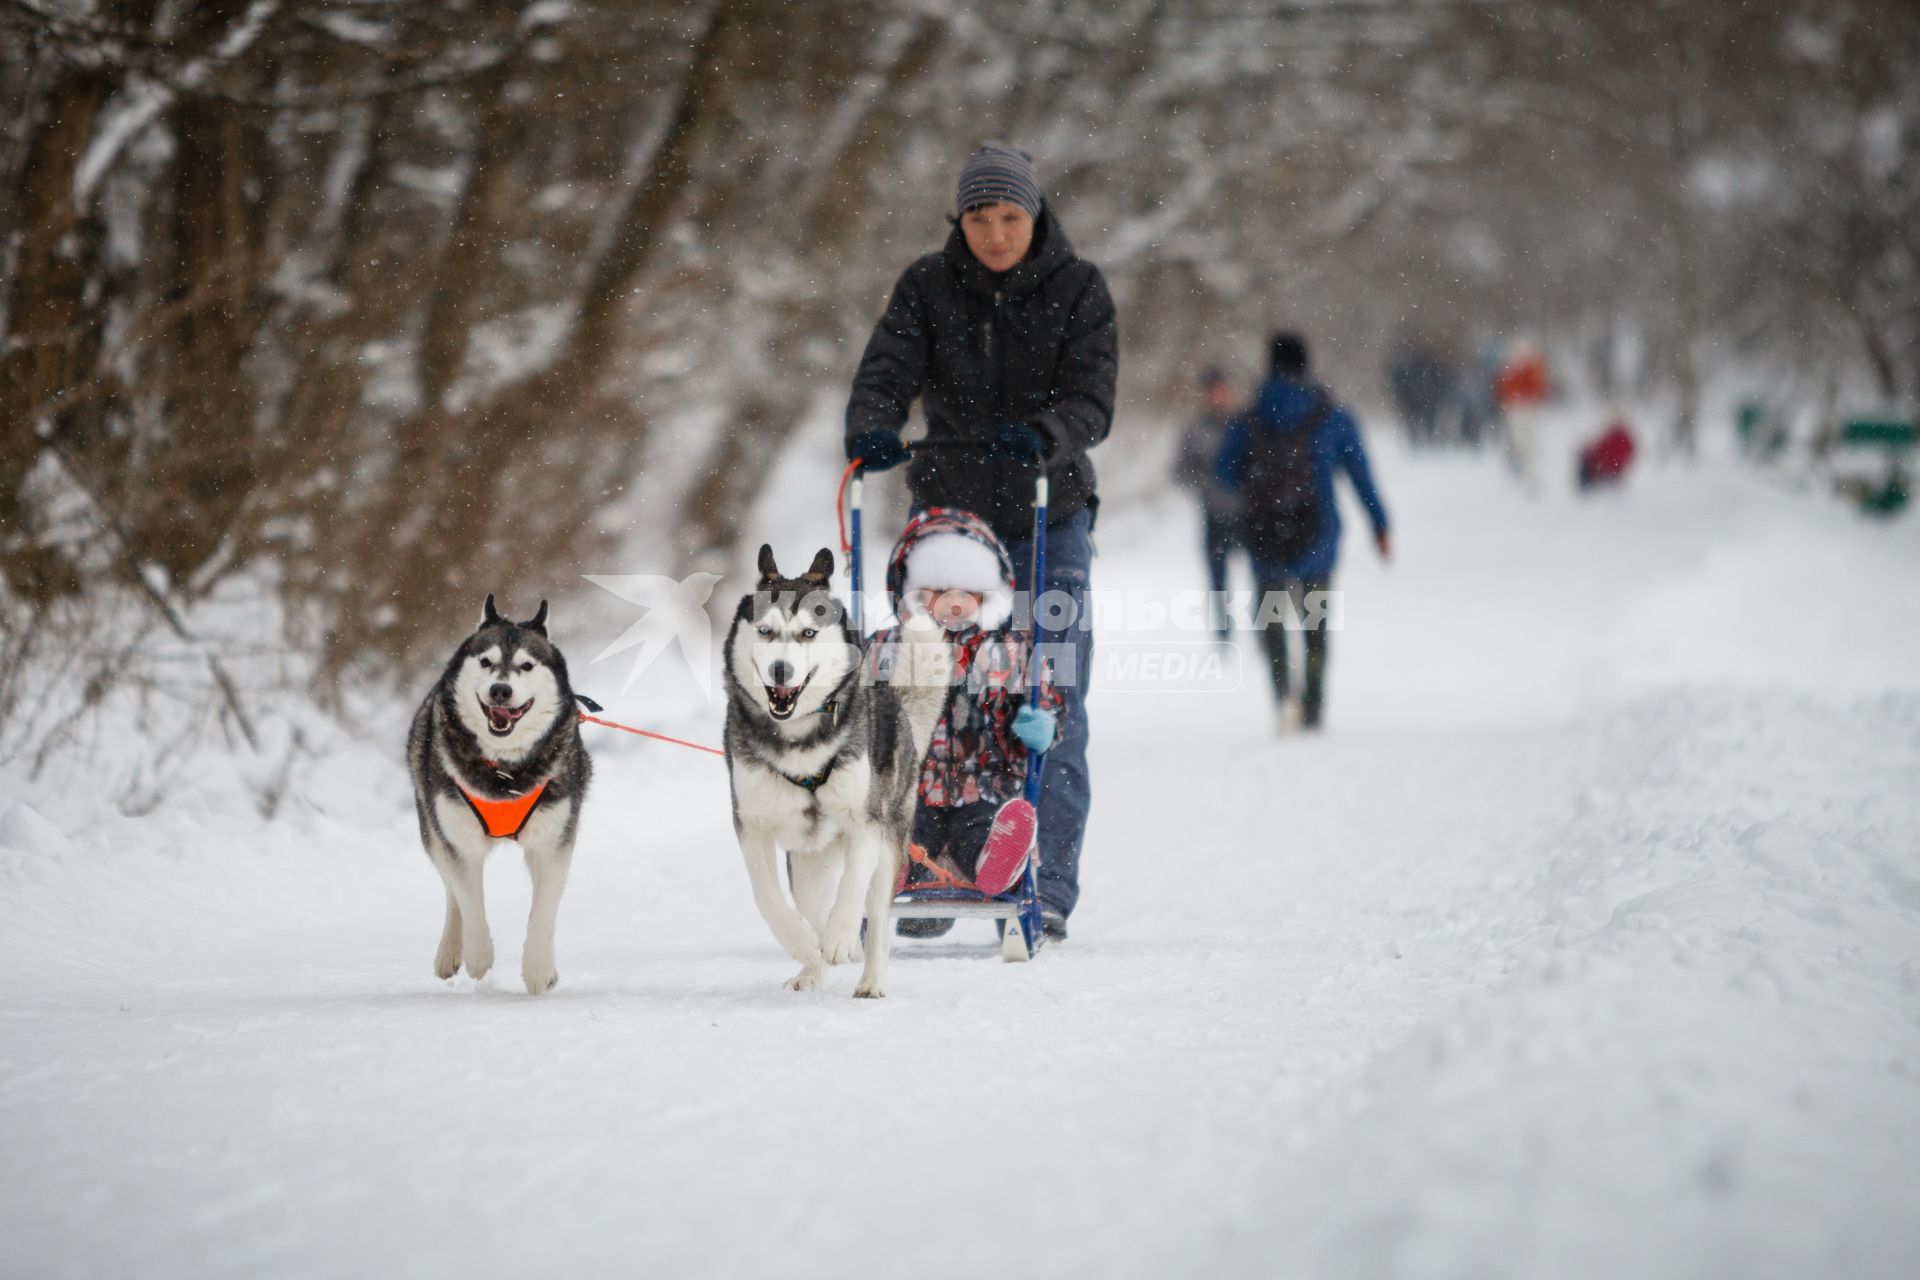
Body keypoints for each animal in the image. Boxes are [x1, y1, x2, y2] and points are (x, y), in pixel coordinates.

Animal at [401, 594, 587, 997]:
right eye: (486, 661)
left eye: (526, 665)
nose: (501, 690)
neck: (504, 771)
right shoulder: (459, 841)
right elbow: (470, 903)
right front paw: (479, 955)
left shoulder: (552, 843)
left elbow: (542, 914)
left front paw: (538, 970)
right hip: (433, 829)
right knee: (451, 892)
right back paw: (451, 951)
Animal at [721, 545, 952, 997]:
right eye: (765, 631)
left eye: (809, 633)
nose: (780, 670)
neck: (799, 744)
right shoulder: (752, 824)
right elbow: (767, 898)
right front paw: (805, 944)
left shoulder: (866, 821)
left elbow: (852, 889)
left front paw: (842, 938)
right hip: (809, 864)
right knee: (813, 908)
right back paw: (811, 966)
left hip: (890, 843)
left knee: (875, 917)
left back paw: (869, 977)